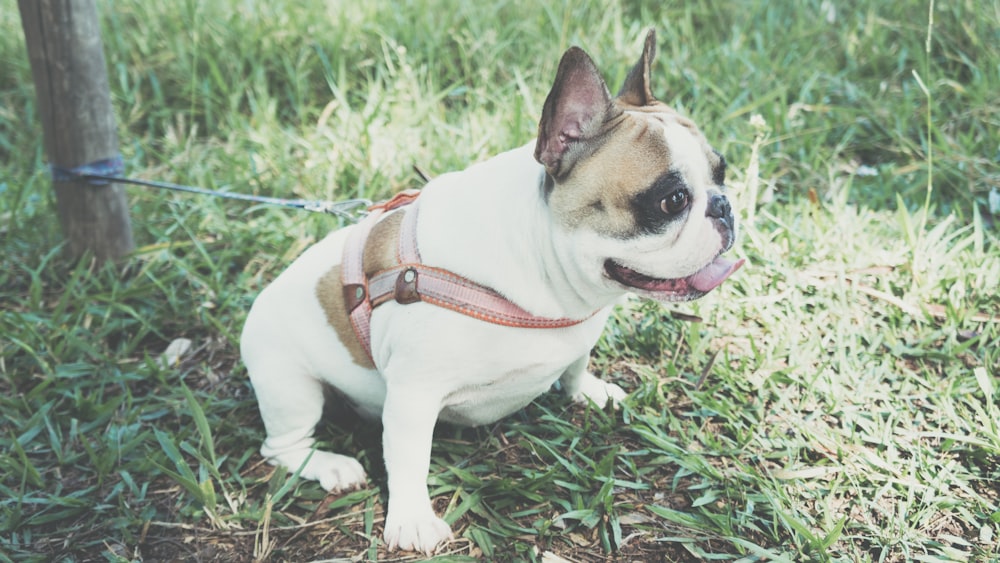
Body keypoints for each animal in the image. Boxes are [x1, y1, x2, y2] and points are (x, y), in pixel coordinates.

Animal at [240, 28, 744, 552]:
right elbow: (409, 460)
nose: (724, 206)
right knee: (282, 445)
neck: (548, 272)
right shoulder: (413, 396)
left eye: (722, 173)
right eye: (672, 200)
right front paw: (412, 520)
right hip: (289, 384)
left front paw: (587, 390)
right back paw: (332, 466)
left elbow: (576, 365)